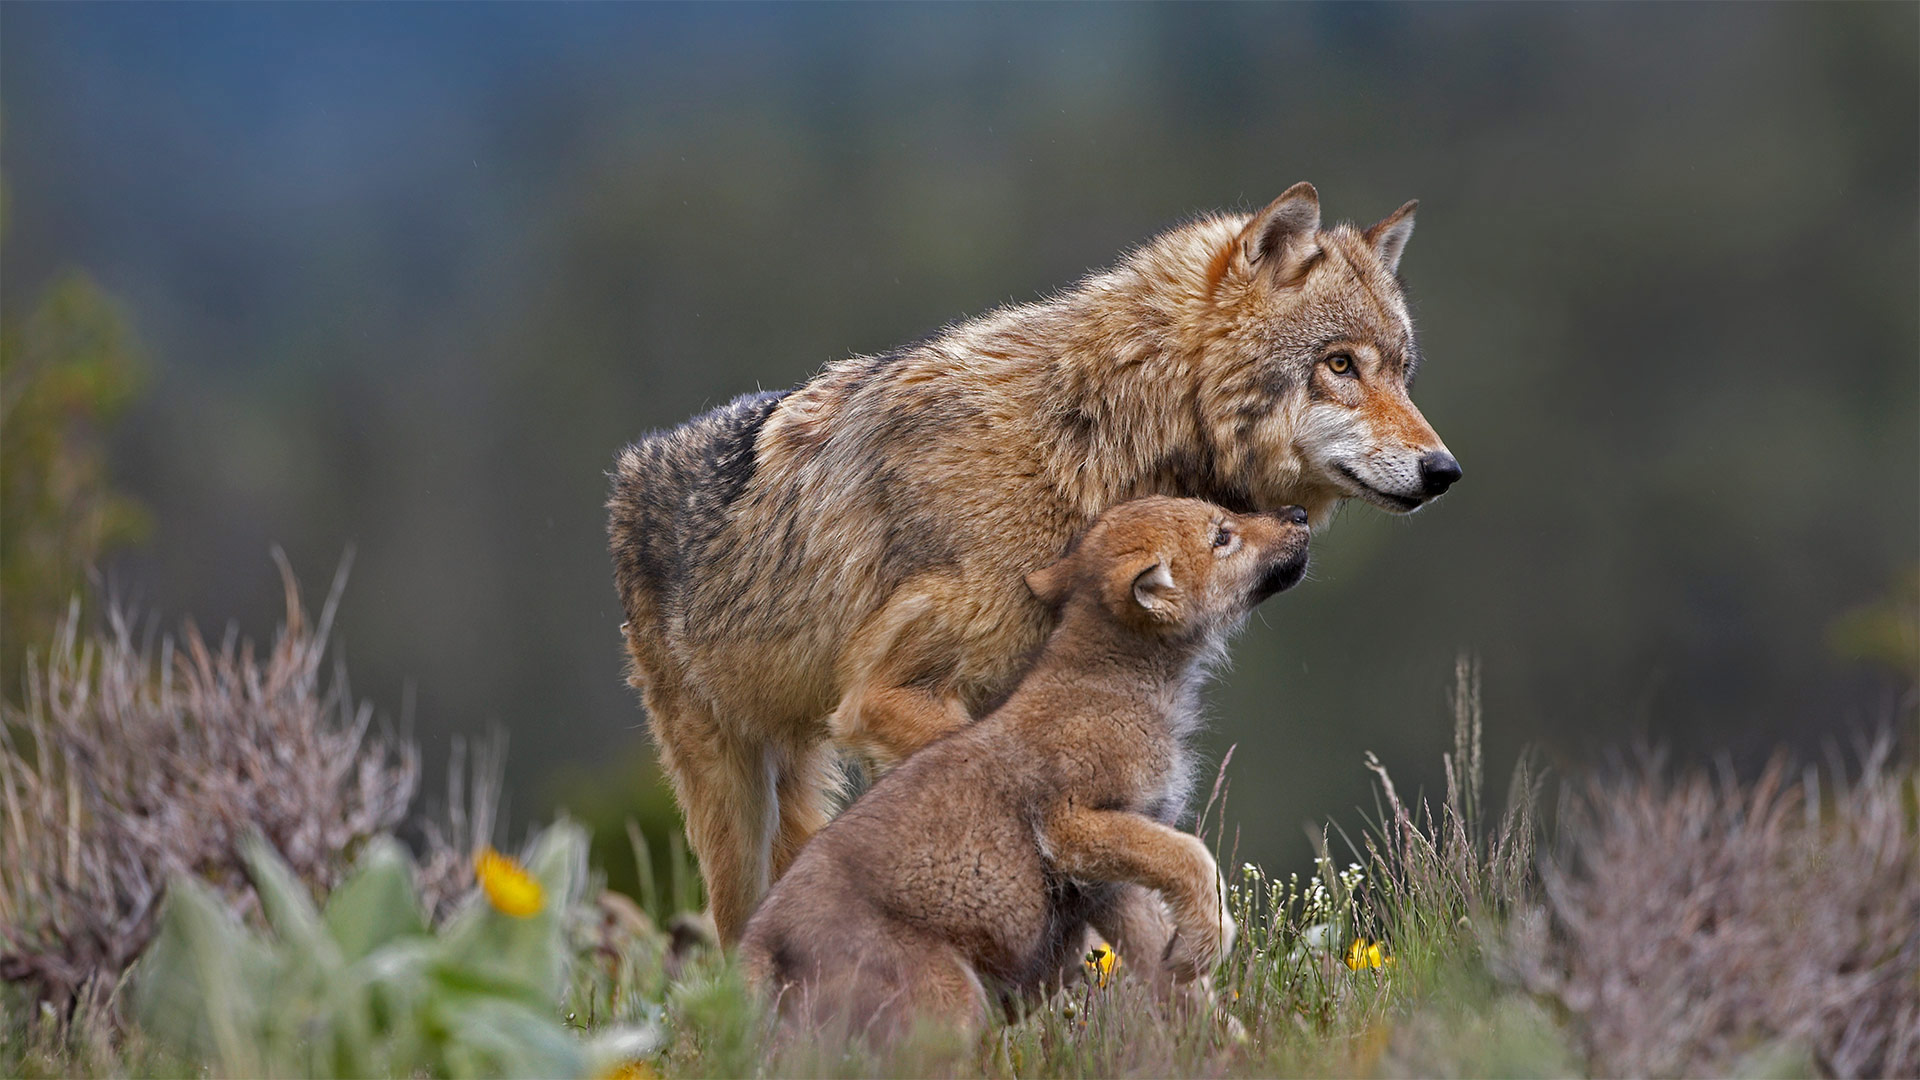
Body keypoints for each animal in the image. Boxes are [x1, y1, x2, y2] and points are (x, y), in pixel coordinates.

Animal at [606, 180, 1459, 937]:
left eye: (1401, 371)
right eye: (1341, 364)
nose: (1444, 471)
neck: (1083, 443)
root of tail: (634, 462)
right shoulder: (886, 694)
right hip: (730, 801)